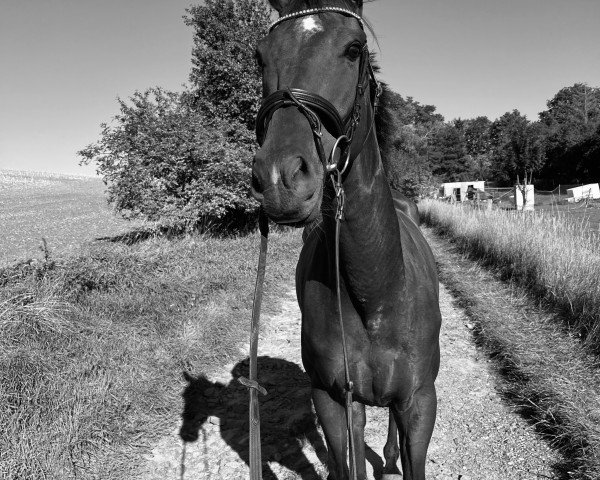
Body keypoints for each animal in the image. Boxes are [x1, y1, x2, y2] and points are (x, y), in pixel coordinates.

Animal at [248, 1, 440, 478]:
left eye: (353, 48)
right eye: (260, 56)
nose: (279, 178)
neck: (376, 294)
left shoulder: (419, 405)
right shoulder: (334, 402)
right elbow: (344, 460)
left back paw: (387, 459)